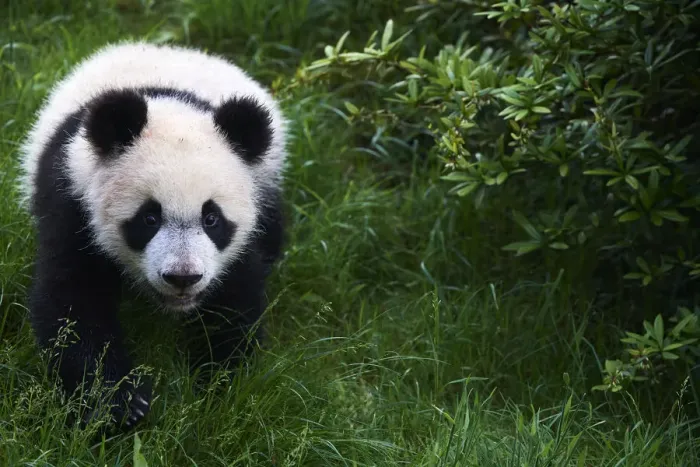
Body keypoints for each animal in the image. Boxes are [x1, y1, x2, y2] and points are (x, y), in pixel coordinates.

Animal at [18, 41, 288, 430]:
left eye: (212, 218)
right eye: (149, 218)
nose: (183, 277)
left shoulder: (244, 235)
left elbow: (235, 300)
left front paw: (218, 385)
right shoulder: (73, 202)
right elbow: (72, 303)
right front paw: (119, 403)